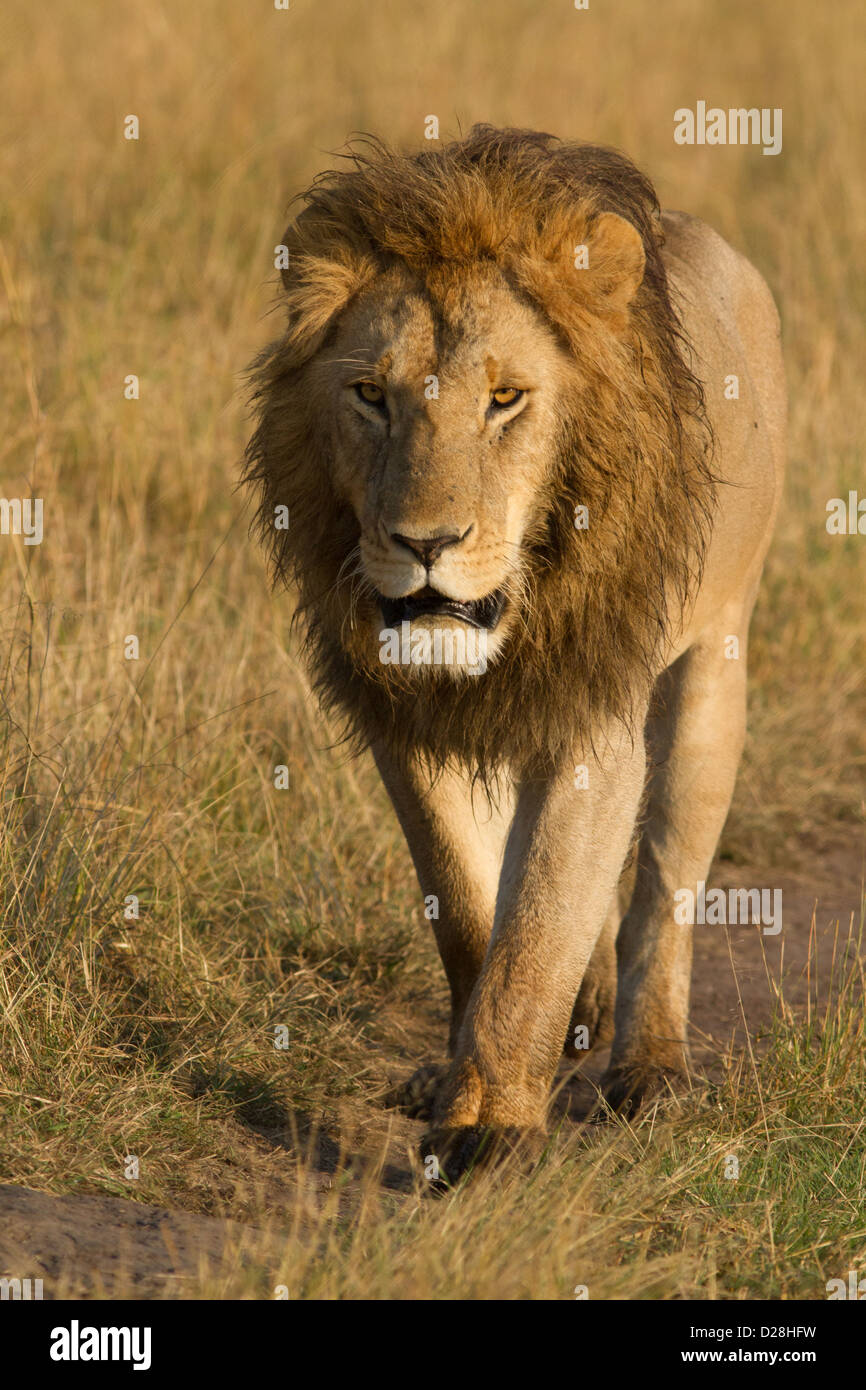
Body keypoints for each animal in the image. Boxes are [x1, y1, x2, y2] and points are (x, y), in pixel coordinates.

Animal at [244, 126, 786, 1183]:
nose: (424, 543)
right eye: (369, 395)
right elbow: (468, 904)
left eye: (505, 400)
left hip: (714, 660)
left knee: (666, 886)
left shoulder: (589, 719)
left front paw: (490, 1126)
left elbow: (535, 930)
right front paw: (469, 1072)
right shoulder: (405, 718)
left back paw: (649, 1069)